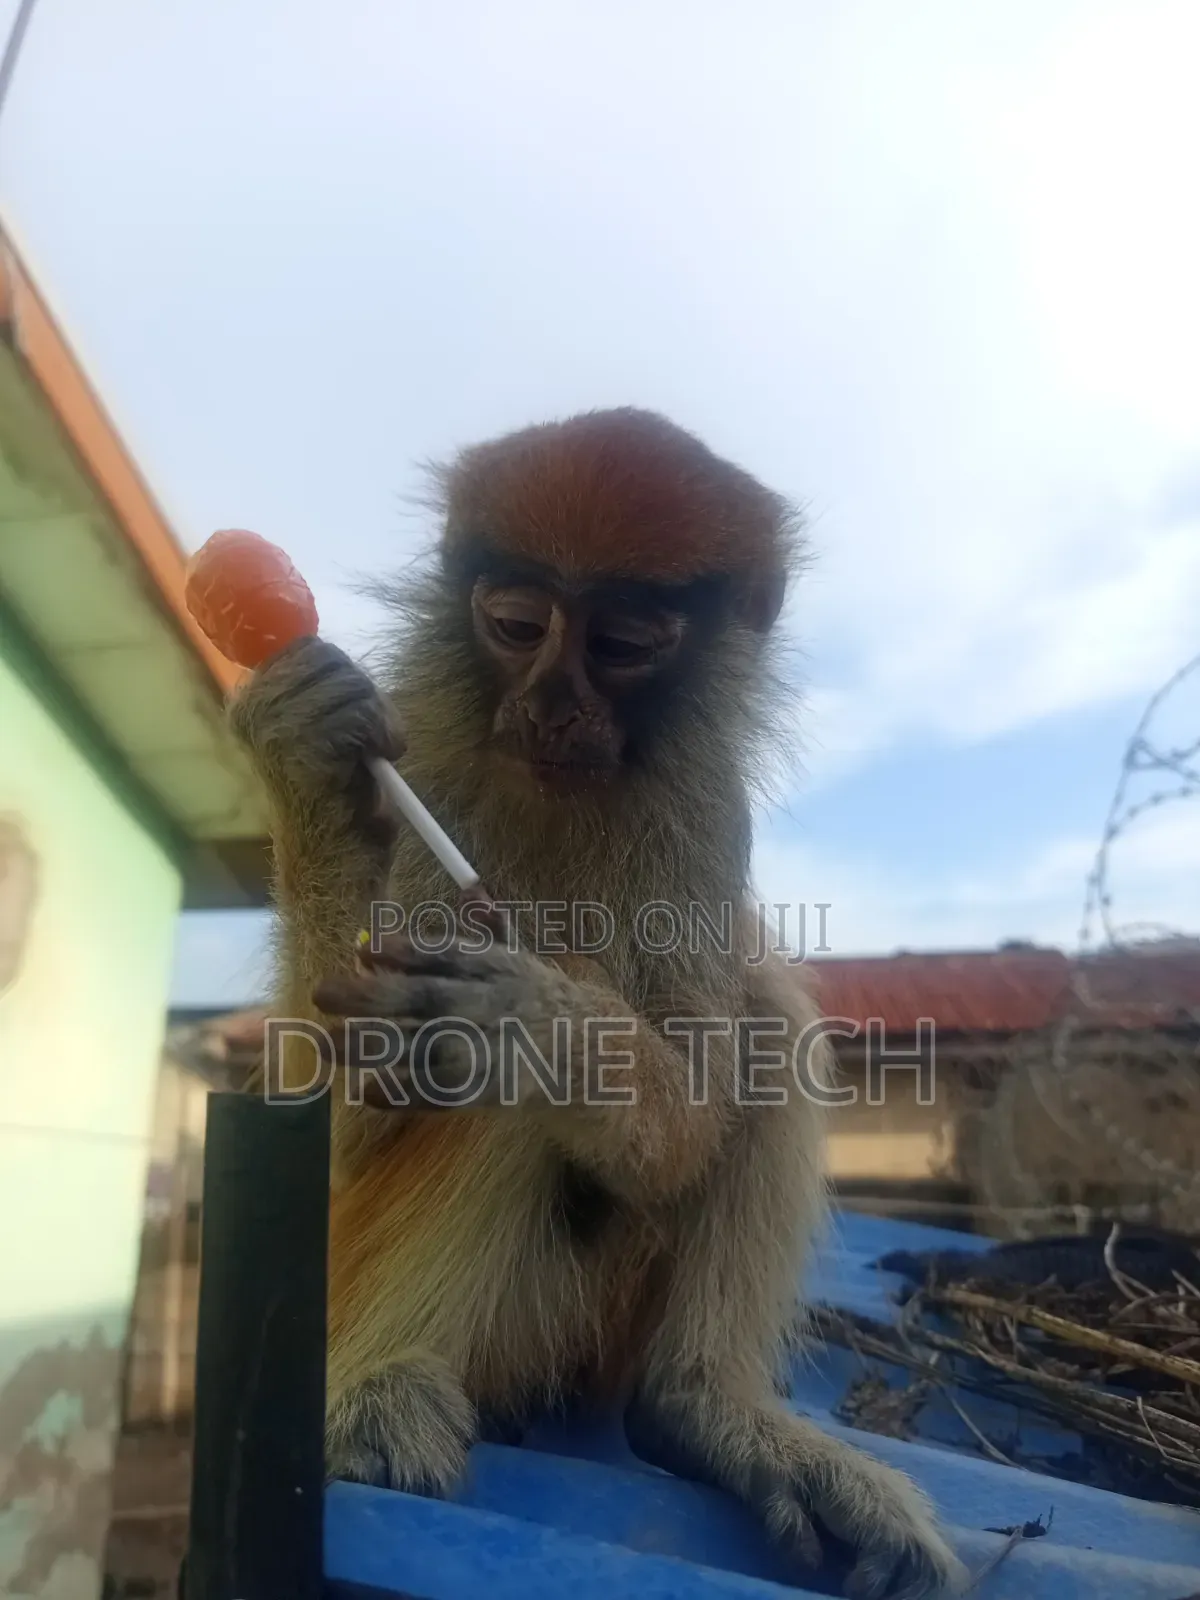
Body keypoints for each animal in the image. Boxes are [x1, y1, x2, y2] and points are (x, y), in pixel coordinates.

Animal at [229, 407, 966, 1599]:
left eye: (623, 643)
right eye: (516, 624)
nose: (549, 705)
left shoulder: (707, 808)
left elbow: (684, 1121)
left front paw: (550, 1028)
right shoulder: (429, 757)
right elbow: (337, 1125)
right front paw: (307, 757)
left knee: (761, 1011)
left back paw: (700, 1410)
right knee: (484, 1096)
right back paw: (375, 1386)